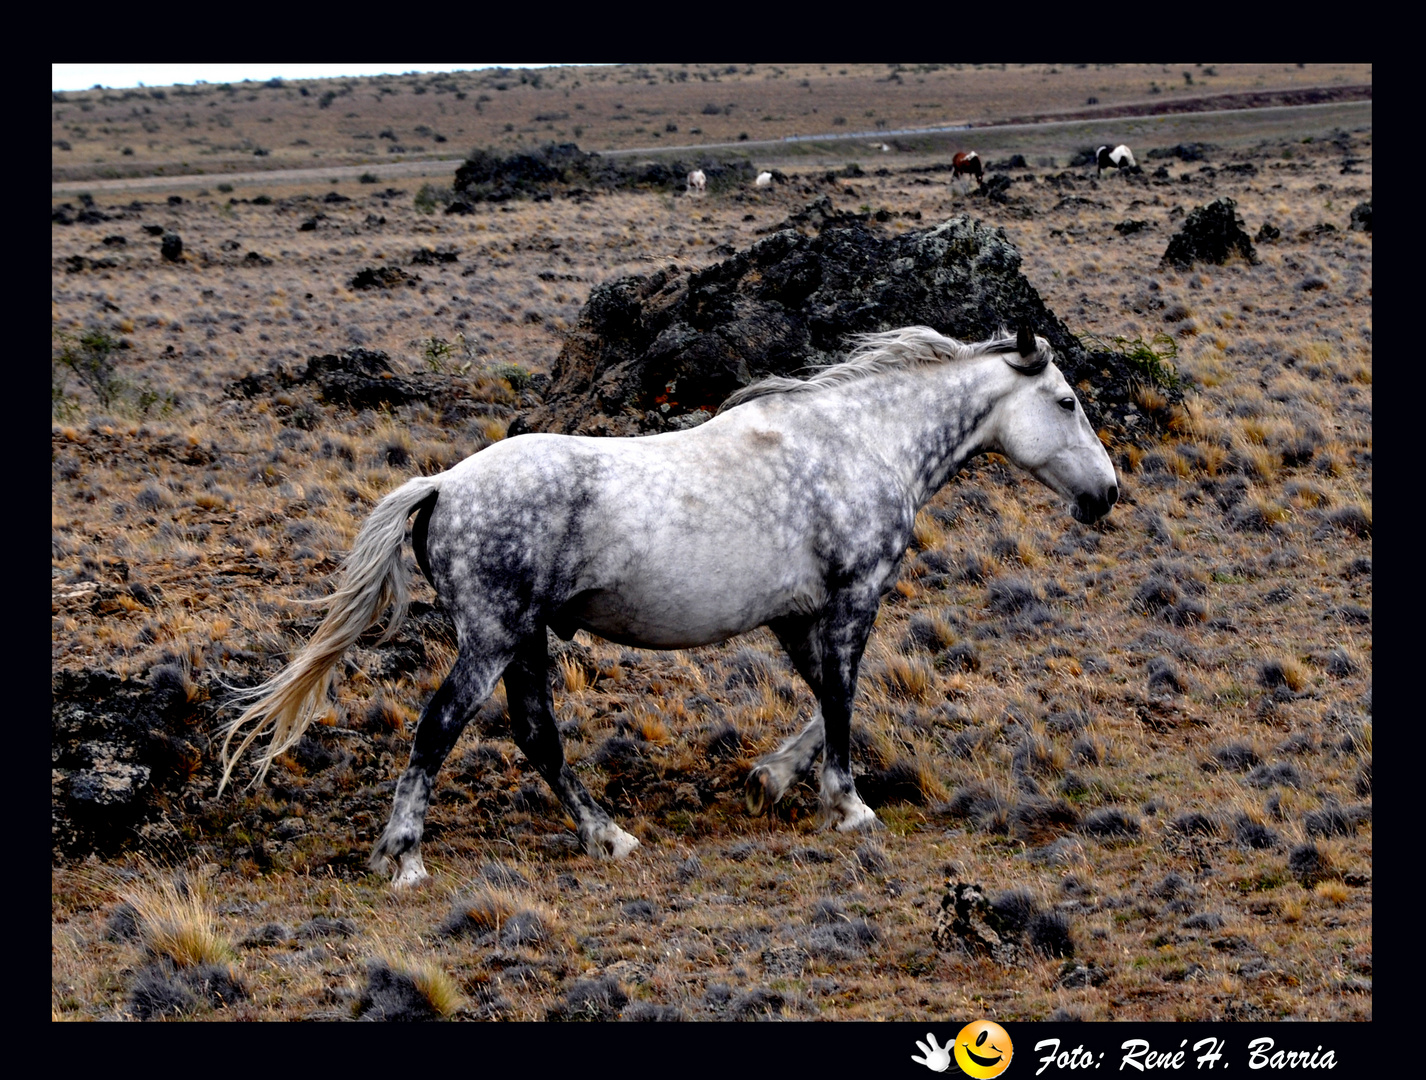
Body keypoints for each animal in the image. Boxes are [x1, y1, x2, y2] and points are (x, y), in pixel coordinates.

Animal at [219, 322, 1112, 884]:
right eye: (1067, 403)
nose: (1106, 494)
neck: (863, 443)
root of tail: (442, 483)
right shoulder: (854, 594)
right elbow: (844, 698)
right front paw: (848, 805)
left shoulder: (796, 614)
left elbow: (831, 697)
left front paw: (772, 779)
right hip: (493, 637)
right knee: (440, 728)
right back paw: (404, 856)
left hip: (526, 640)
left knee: (538, 736)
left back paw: (608, 836)